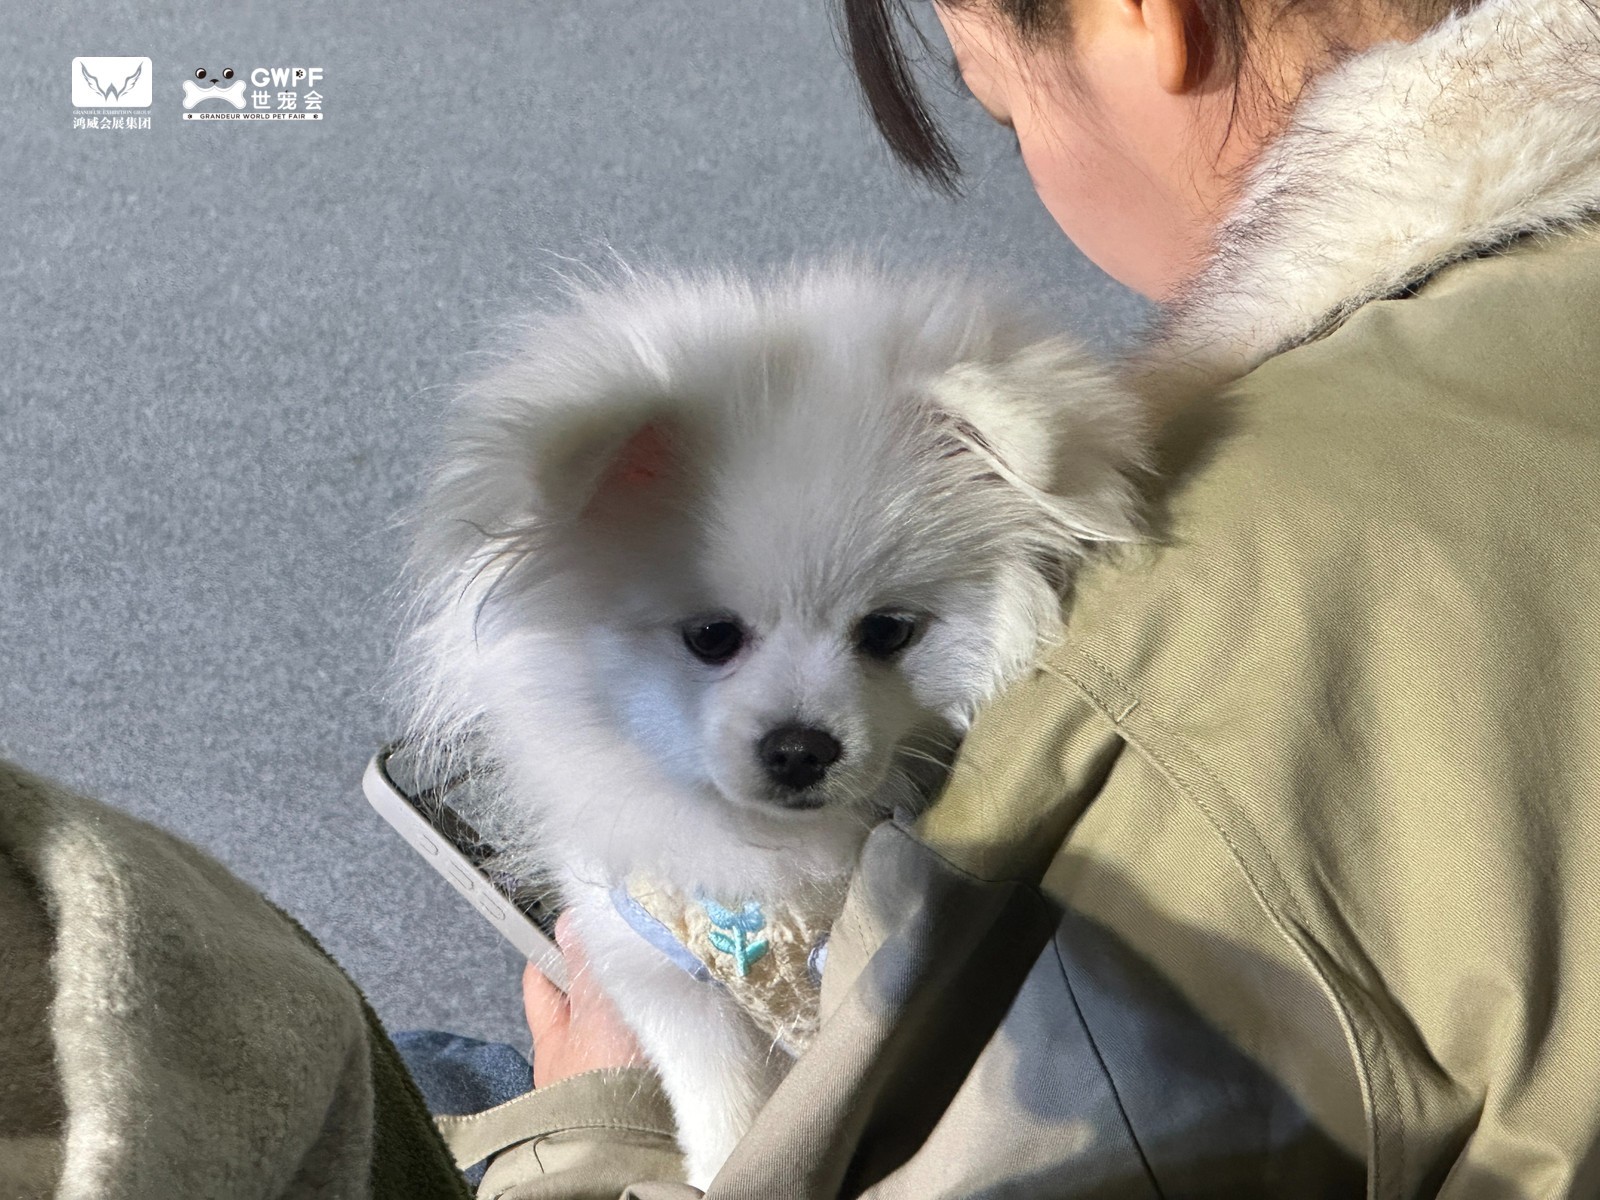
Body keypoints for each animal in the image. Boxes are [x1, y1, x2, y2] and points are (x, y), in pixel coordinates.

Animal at [390, 252, 1151, 1186]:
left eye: (887, 631)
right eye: (712, 636)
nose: (799, 748)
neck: (769, 869)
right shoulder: (659, 969)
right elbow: (723, 1105)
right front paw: (720, 1164)